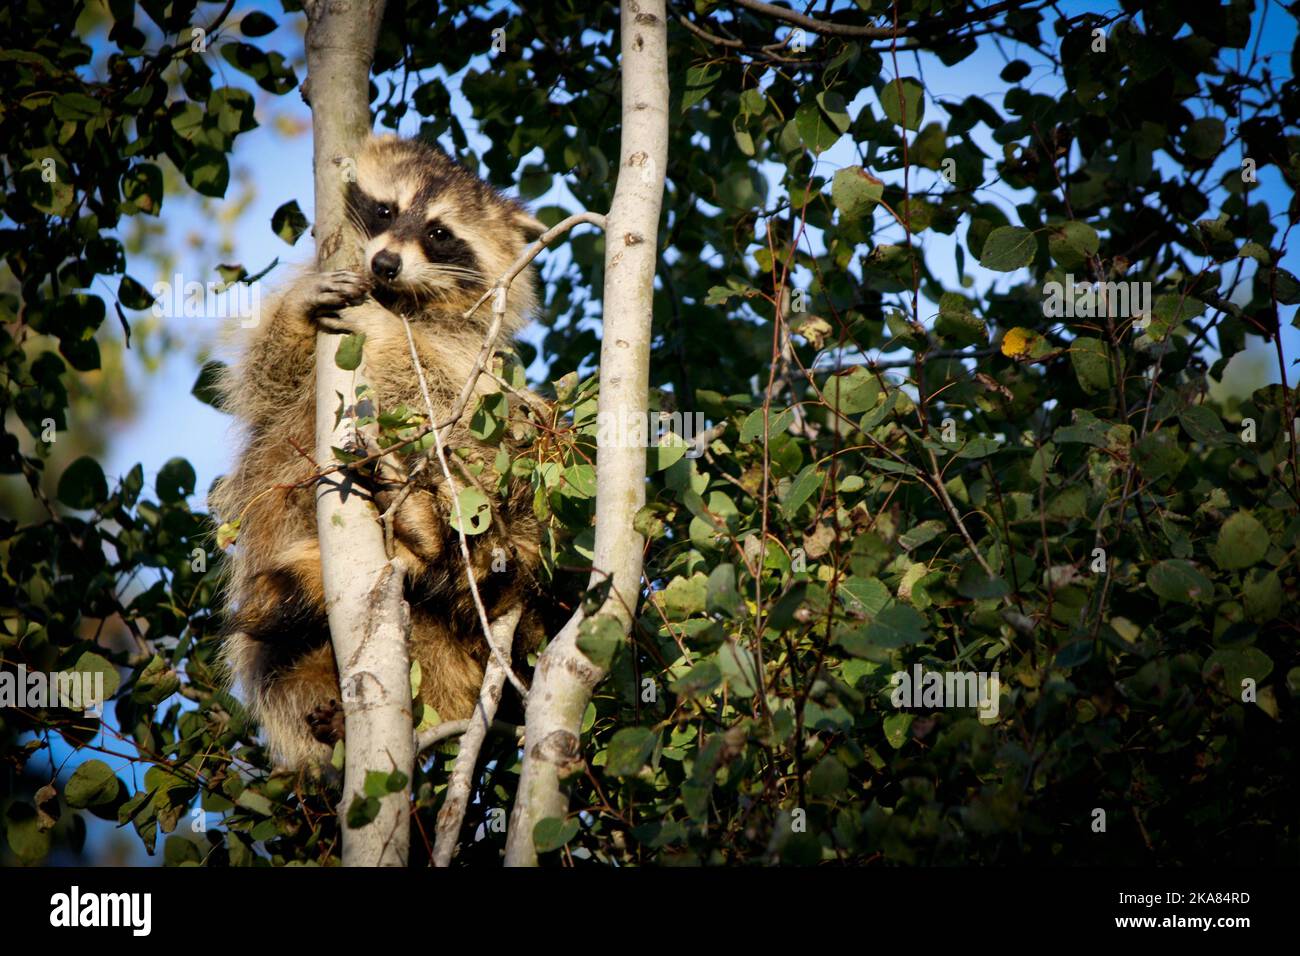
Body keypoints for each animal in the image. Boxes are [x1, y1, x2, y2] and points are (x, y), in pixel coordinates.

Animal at [213, 134, 548, 770]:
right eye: (387, 210)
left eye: (439, 232)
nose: (385, 264)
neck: (405, 298)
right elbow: (268, 385)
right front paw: (300, 312)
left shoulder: (471, 353)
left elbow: (462, 403)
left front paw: (387, 329)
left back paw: (432, 532)